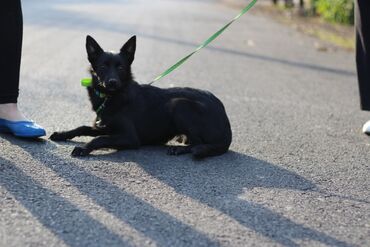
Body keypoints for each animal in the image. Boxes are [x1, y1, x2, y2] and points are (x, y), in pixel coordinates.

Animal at [50, 35, 231, 158]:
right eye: (102, 66)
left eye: (121, 68)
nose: (112, 83)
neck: (111, 97)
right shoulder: (105, 126)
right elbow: (82, 128)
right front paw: (62, 134)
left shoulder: (130, 137)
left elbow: (99, 139)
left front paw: (83, 148)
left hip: (178, 104)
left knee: (198, 143)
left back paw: (179, 149)